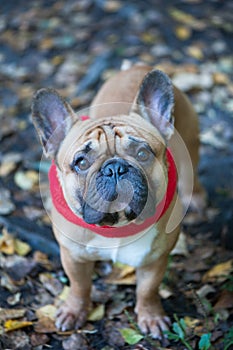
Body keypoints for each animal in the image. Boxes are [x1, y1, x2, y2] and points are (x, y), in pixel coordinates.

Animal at [31, 64, 206, 338]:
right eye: (81, 162)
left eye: (143, 154)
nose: (115, 168)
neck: (116, 227)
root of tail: (138, 66)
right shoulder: (73, 256)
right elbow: (79, 286)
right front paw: (73, 311)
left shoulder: (155, 259)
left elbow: (147, 290)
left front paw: (151, 317)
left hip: (190, 149)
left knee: (192, 177)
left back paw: (197, 199)